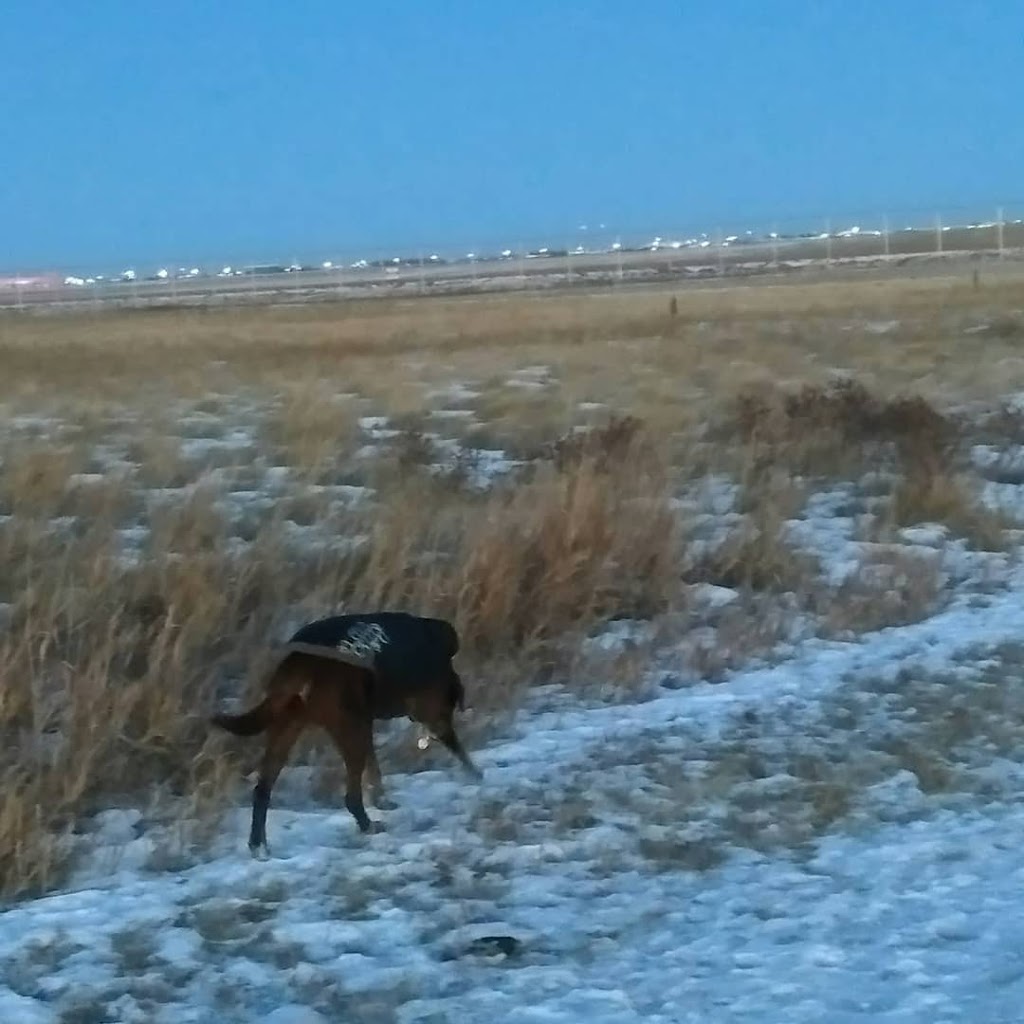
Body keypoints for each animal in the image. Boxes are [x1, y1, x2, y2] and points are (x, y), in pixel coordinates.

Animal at [210, 606, 479, 856]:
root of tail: (301, 662)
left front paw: (382, 799)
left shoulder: (370, 722)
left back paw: (259, 846)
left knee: (262, 790)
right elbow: (458, 748)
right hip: (349, 730)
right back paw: (368, 826)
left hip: (287, 728)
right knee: (351, 797)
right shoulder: (431, 713)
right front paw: (476, 775)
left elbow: (375, 768)